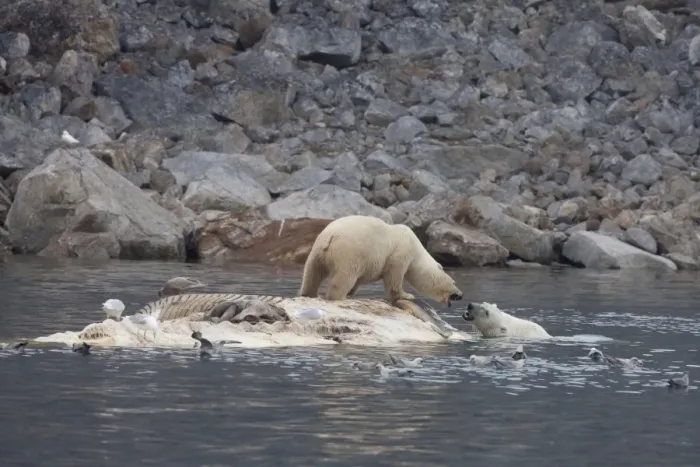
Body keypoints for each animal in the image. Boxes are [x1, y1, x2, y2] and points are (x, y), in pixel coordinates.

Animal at [298, 215, 464, 306]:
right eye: (453, 282)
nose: (460, 295)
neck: (416, 246)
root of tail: (330, 236)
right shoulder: (401, 251)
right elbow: (394, 275)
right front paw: (407, 295)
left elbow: (360, 279)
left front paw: (353, 292)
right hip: (349, 252)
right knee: (344, 277)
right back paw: (338, 297)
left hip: (317, 251)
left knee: (312, 273)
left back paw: (307, 293)